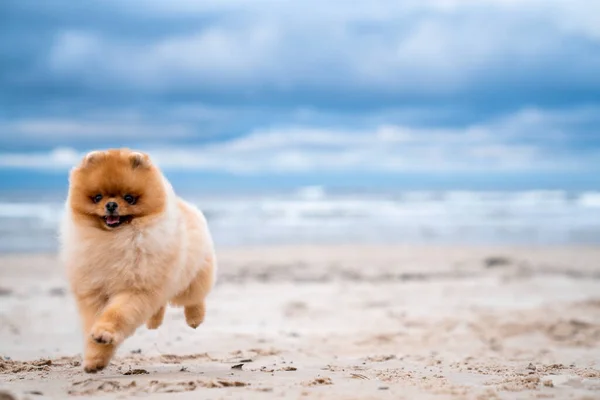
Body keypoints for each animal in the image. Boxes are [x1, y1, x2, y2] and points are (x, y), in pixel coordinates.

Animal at [58, 148, 217, 374]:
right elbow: (94, 325)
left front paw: (104, 334)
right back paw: (153, 322)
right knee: (160, 304)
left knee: (195, 296)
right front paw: (94, 359)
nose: (111, 204)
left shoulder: (136, 289)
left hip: (191, 276)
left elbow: (117, 314)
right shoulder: (94, 292)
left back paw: (195, 318)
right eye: (97, 197)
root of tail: (186, 206)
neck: (114, 239)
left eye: (129, 198)